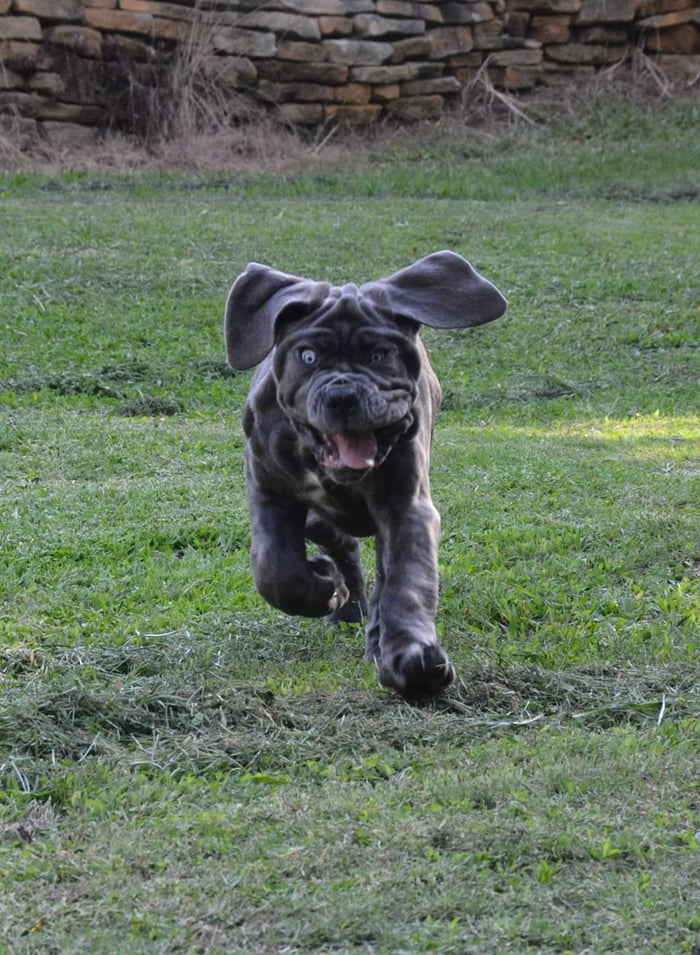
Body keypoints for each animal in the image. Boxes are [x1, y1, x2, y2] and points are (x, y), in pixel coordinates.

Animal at [227, 252, 506, 704]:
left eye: (379, 356)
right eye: (308, 357)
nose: (343, 397)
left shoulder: (405, 506)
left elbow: (407, 581)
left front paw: (412, 659)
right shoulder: (268, 488)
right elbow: (276, 569)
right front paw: (323, 587)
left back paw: (374, 635)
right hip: (314, 515)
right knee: (336, 541)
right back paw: (344, 602)